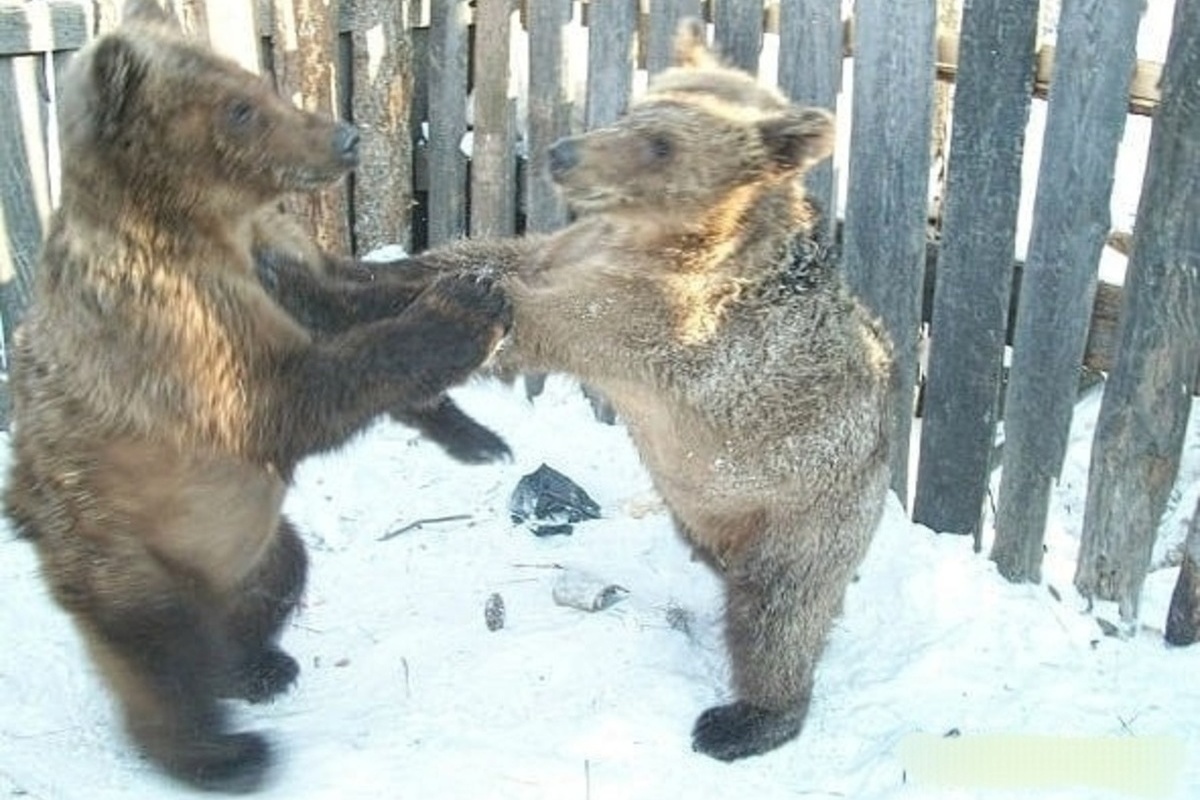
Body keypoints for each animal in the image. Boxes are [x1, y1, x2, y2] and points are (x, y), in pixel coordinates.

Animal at [0, 0, 506, 791]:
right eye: (239, 108)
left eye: (256, 82)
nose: (345, 134)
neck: (206, 229)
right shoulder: (172, 334)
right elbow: (289, 396)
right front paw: (464, 310)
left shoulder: (272, 264)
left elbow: (352, 295)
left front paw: (478, 422)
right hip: (124, 551)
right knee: (160, 659)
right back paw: (220, 753)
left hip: (246, 544)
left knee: (278, 577)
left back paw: (259, 665)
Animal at [484, 21, 892, 762]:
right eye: (631, 108)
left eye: (661, 144)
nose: (562, 152)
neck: (660, 243)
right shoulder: (576, 249)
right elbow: (503, 252)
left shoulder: (678, 334)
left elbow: (568, 319)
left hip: (807, 512)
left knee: (780, 614)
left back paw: (743, 720)